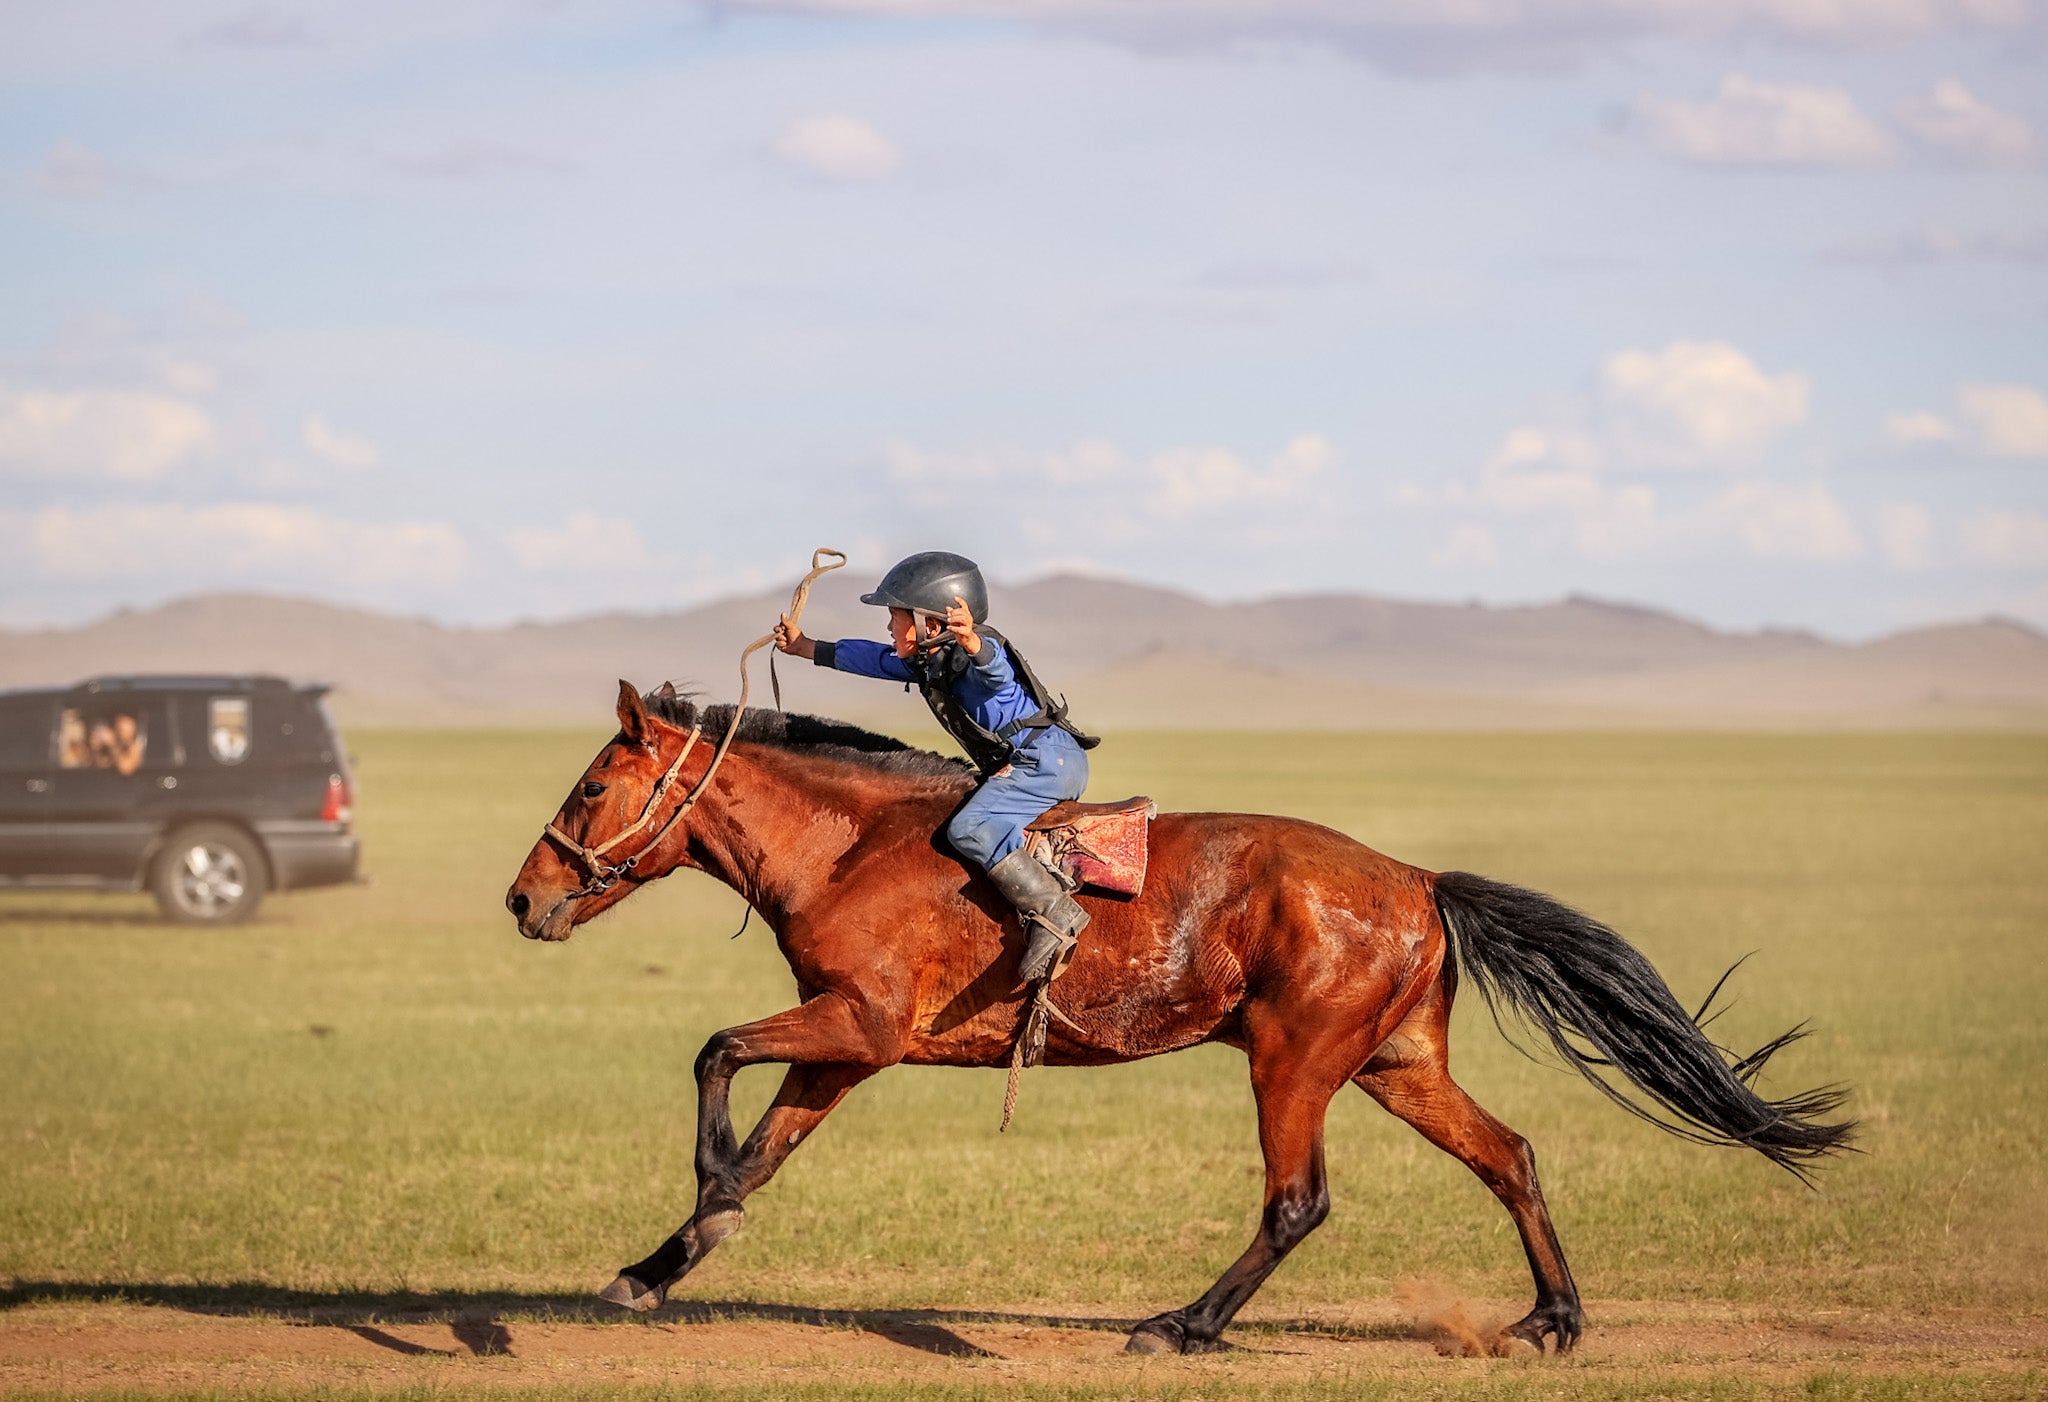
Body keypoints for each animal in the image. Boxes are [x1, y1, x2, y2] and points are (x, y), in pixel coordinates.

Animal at [504, 681, 1853, 1357]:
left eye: (593, 783)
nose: (522, 897)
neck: (854, 843)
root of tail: (1419, 880)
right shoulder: (844, 1048)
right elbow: (764, 1146)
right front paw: (662, 1261)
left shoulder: (860, 1027)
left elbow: (714, 1055)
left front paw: (699, 1212)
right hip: (1394, 1065)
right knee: (1508, 1154)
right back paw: (1552, 1320)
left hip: (1295, 1064)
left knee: (1297, 1200)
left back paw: (1181, 1325)